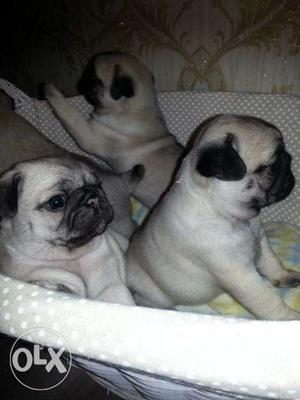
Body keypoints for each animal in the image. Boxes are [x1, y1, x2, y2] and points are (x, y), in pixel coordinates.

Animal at [0, 155, 143, 304]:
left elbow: (112, 292)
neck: (69, 256)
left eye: (99, 185)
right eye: (56, 201)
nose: (93, 196)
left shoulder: (109, 281)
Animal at [44, 51, 183, 208]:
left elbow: (69, 113)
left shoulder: (88, 135)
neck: (133, 109)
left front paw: (51, 91)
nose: (81, 79)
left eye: (94, 77)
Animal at [126, 114, 300, 320]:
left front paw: (284, 276)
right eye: (272, 165)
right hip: (156, 297)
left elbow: (271, 263)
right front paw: (289, 319)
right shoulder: (240, 275)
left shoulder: (261, 241)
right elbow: (268, 301)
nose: (289, 158)